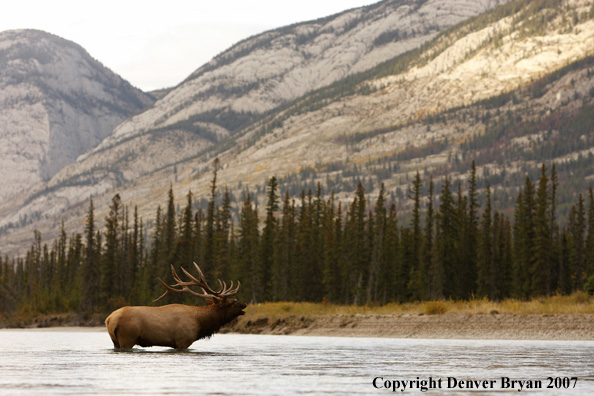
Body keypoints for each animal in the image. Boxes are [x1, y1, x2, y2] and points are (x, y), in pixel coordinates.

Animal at [104, 262, 245, 350]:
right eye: (232, 303)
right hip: (127, 337)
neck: (201, 322)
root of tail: (109, 319)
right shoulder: (183, 341)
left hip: (115, 341)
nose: (244, 304)